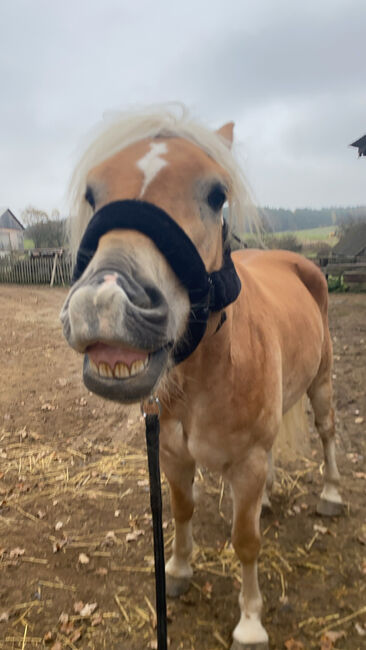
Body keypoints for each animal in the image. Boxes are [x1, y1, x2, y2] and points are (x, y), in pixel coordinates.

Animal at [60, 107, 344, 648]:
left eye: (216, 194)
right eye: (91, 192)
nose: (105, 301)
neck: (209, 374)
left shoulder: (247, 461)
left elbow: (246, 541)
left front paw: (250, 622)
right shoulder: (172, 455)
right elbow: (183, 510)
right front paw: (178, 571)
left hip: (321, 383)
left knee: (326, 433)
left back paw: (333, 494)